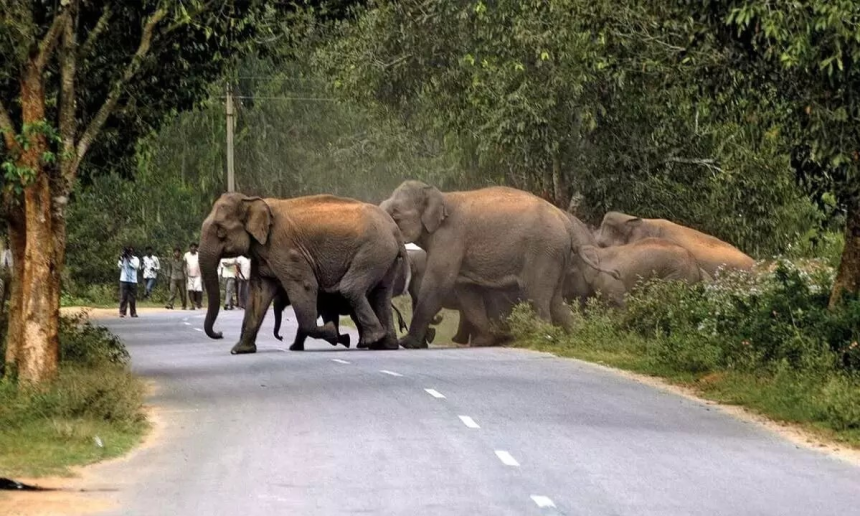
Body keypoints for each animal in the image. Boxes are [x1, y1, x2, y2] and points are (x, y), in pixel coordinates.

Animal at [200, 193, 407, 354]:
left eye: (220, 231)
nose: (220, 334)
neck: (252, 200)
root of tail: (395, 229)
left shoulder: (286, 250)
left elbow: (305, 285)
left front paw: (333, 333)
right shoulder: (263, 253)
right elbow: (259, 293)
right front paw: (240, 350)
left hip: (374, 250)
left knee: (351, 289)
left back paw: (369, 341)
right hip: (384, 255)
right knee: (381, 294)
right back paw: (384, 346)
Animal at [380, 181, 574, 348]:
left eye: (395, 213)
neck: (440, 196)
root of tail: (565, 222)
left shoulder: (450, 238)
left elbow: (438, 283)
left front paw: (407, 343)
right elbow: (466, 291)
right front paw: (483, 341)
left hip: (543, 251)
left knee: (536, 296)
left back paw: (542, 337)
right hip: (555, 255)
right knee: (555, 301)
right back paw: (573, 334)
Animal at [575, 238, 706, 307]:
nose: (616, 273)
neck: (599, 251)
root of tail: (697, 266)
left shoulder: (611, 283)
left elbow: (620, 304)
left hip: (680, 274)